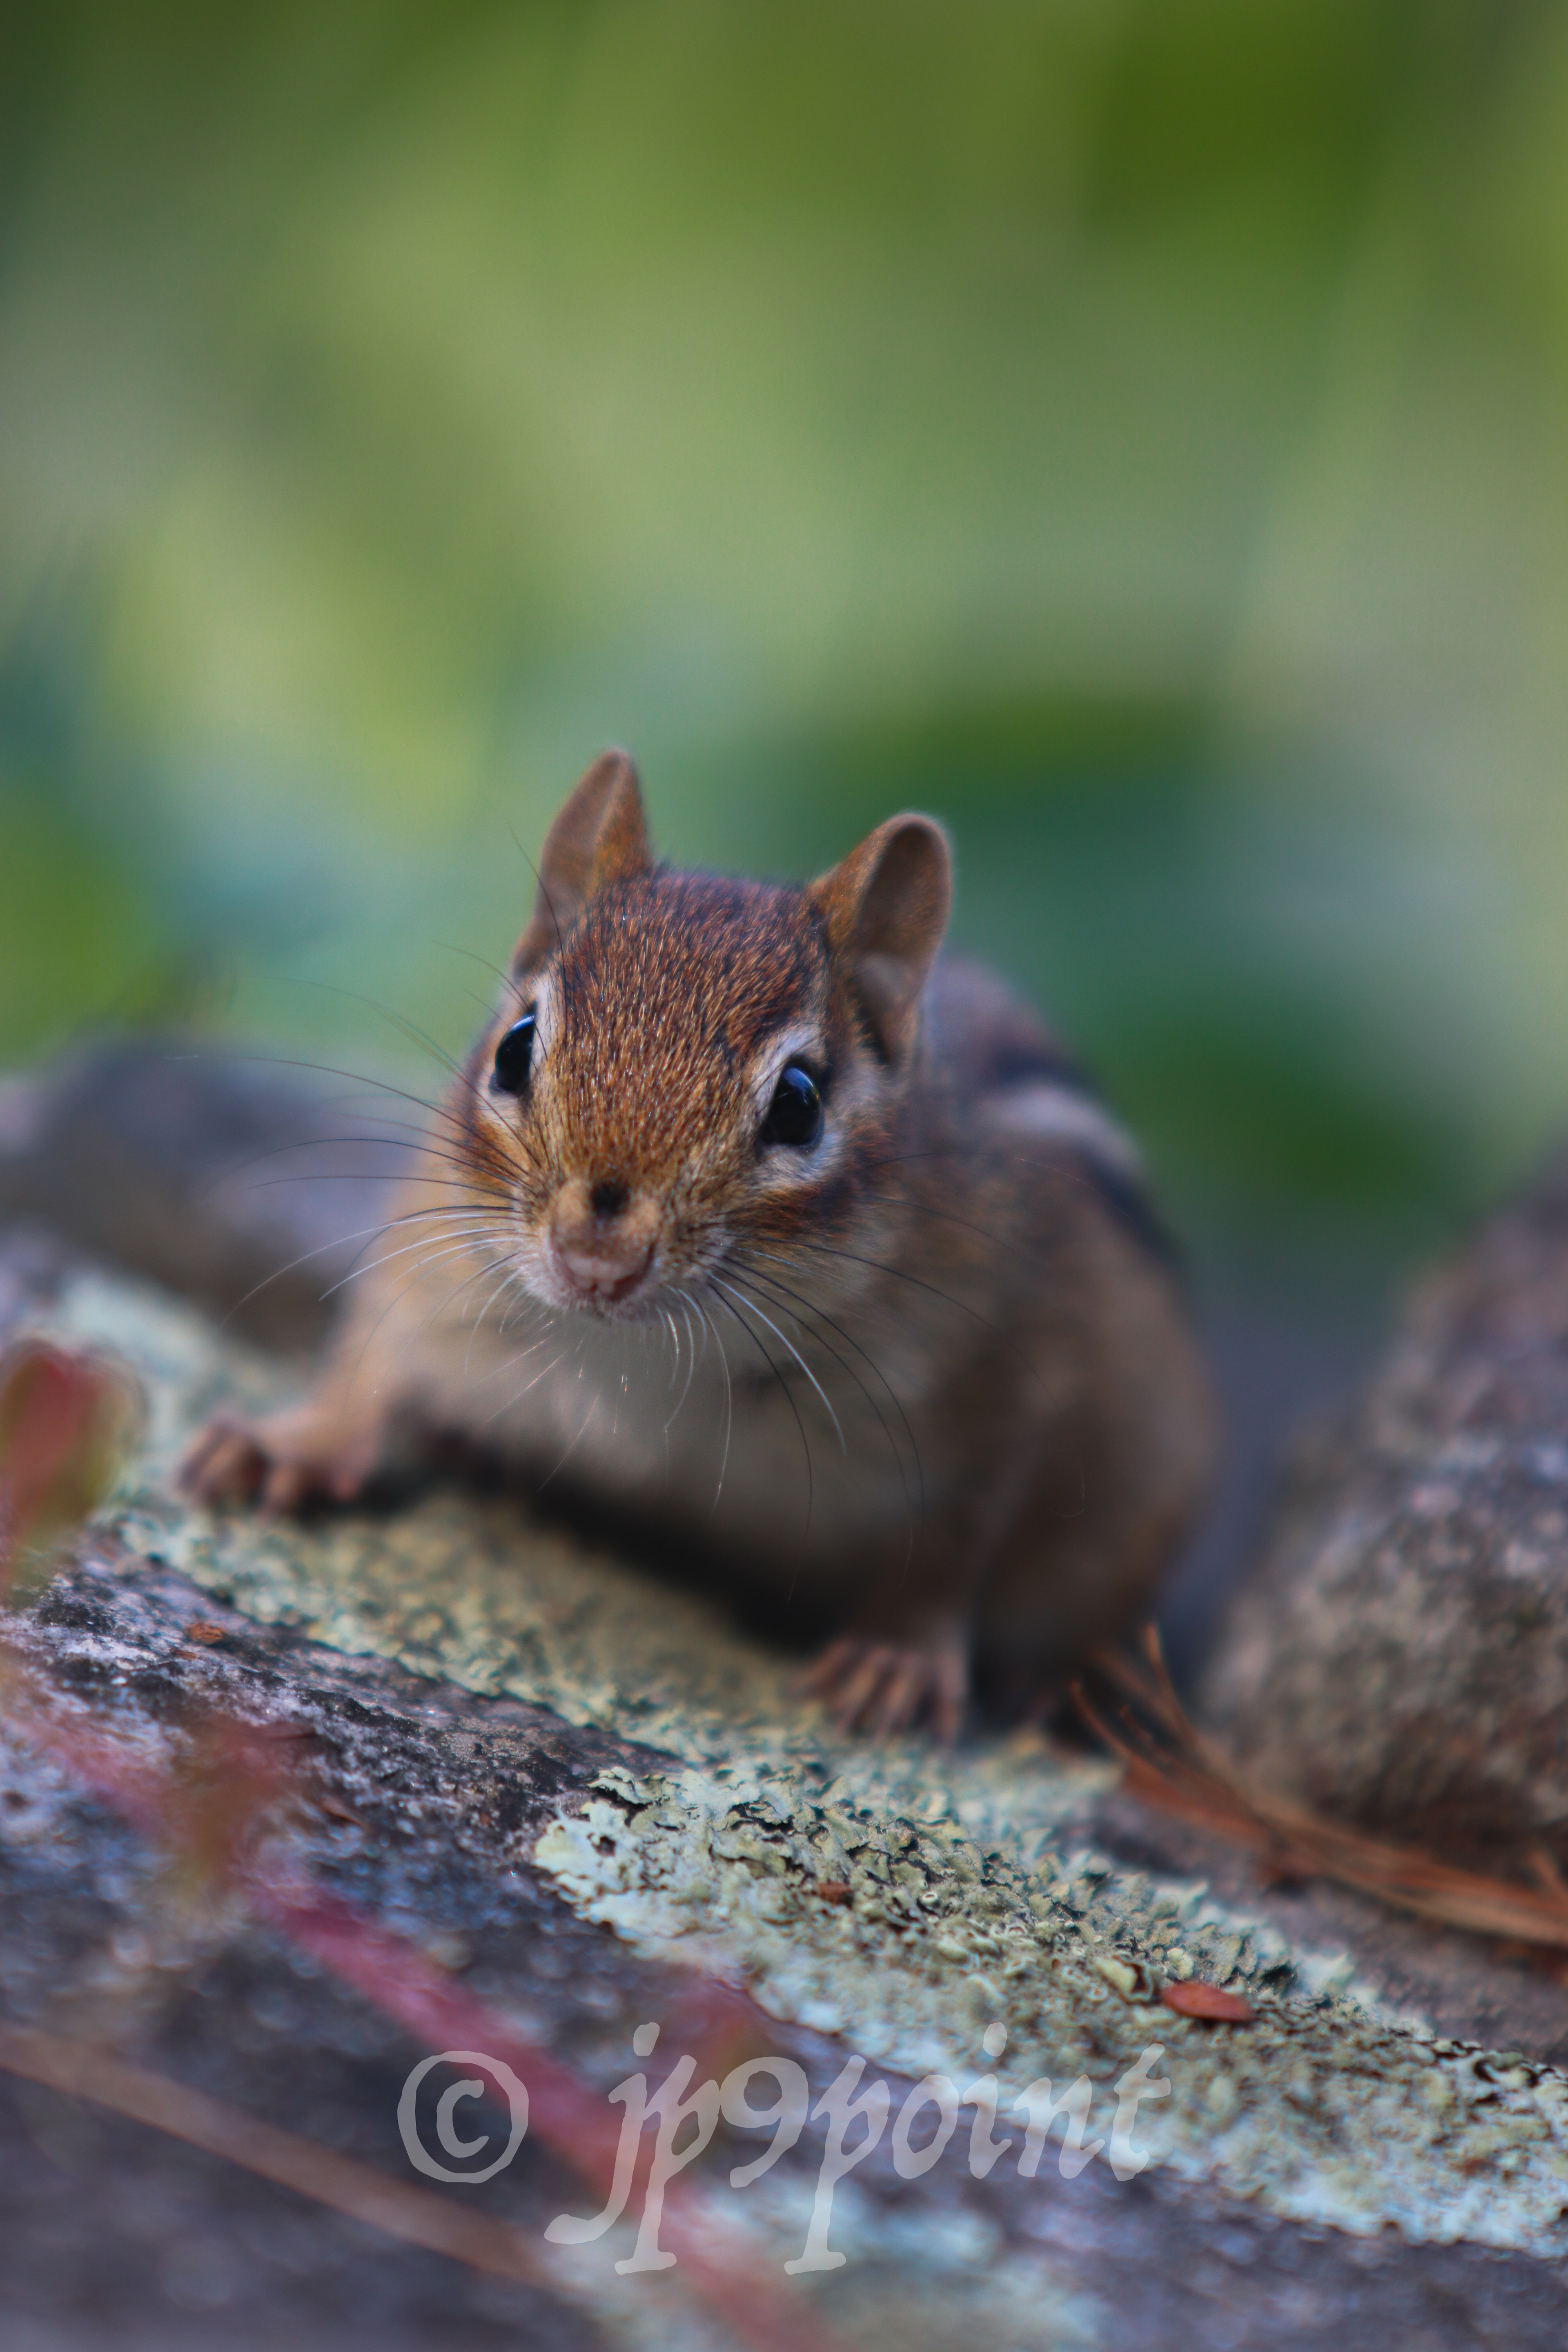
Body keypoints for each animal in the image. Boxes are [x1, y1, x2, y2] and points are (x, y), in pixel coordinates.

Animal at [182, 750, 1219, 1739]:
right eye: (515, 1046)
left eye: (800, 1103)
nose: (596, 1254)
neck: (637, 1357)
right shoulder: (433, 1260)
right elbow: (369, 1358)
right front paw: (290, 1442)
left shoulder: (1003, 1377)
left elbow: (957, 1542)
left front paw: (898, 1653)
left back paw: (1070, 1685)